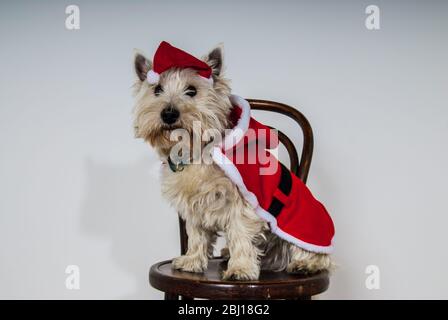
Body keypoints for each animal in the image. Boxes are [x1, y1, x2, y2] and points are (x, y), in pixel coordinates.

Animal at [133, 42, 332, 280]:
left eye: (192, 90)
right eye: (157, 90)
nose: (169, 114)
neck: (196, 151)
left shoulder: (242, 201)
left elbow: (240, 232)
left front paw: (240, 269)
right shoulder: (193, 205)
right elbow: (196, 234)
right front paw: (192, 260)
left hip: (301, 225)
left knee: (312, 252)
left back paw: (305, 264)